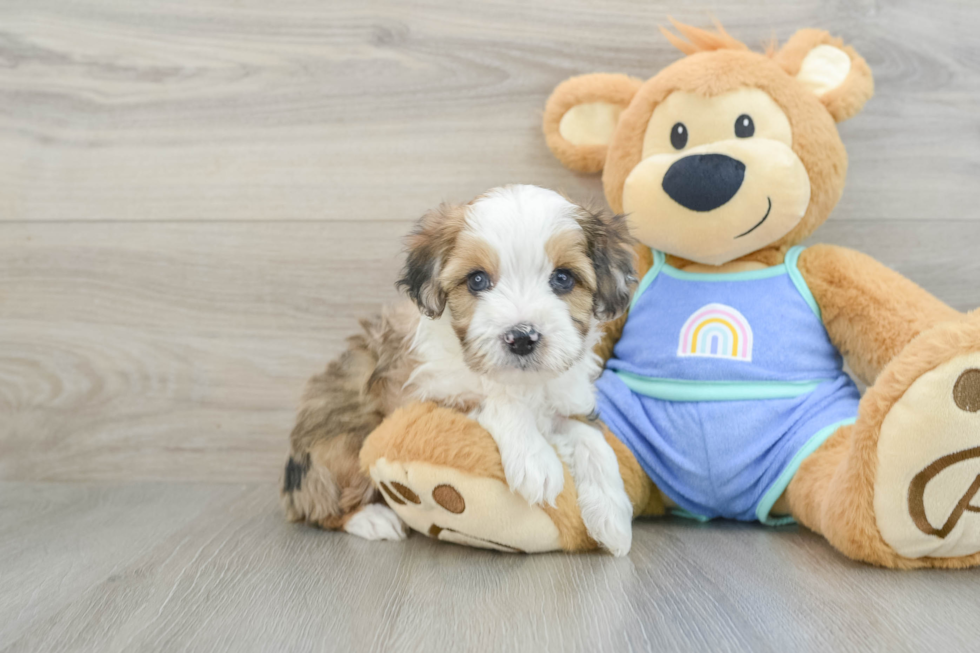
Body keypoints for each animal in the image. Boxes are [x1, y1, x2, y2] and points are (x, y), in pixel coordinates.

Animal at [280, 185, 640, 556]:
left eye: (563, 278)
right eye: (477, 280)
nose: (522, 338)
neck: (519, 381)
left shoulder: (564, 402)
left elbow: (591, 439)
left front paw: (612, 512)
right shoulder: (418, 395)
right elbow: (496, 402)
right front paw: (535, 459)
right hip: (339, 451)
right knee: (322, 508)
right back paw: (372, 518)